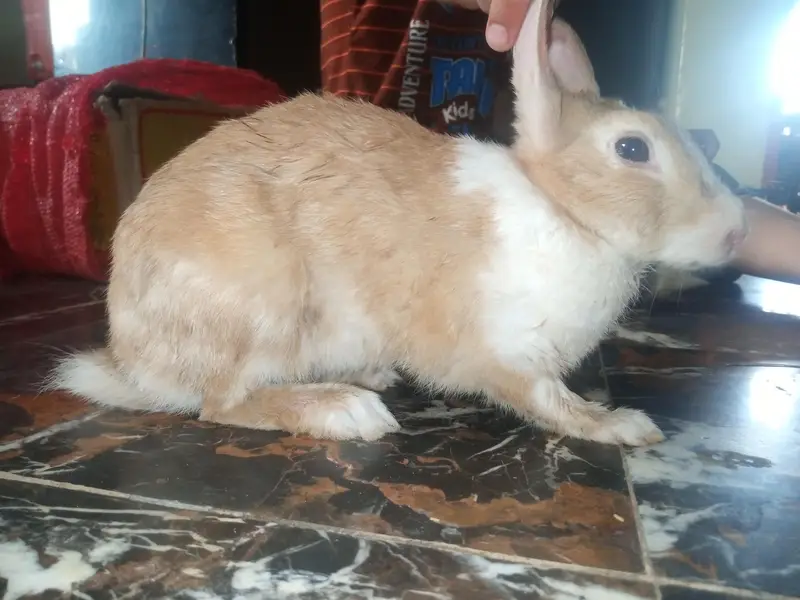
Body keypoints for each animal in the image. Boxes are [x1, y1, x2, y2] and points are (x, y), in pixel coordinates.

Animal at [48, 0, 746, 446]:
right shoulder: (507, 351)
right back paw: (349, 413)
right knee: (222, 405)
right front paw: (624, 427)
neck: (564, 211)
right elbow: (551, 401)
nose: (736, 232)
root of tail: (134, 364)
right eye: (632, 148)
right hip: (261, 304)